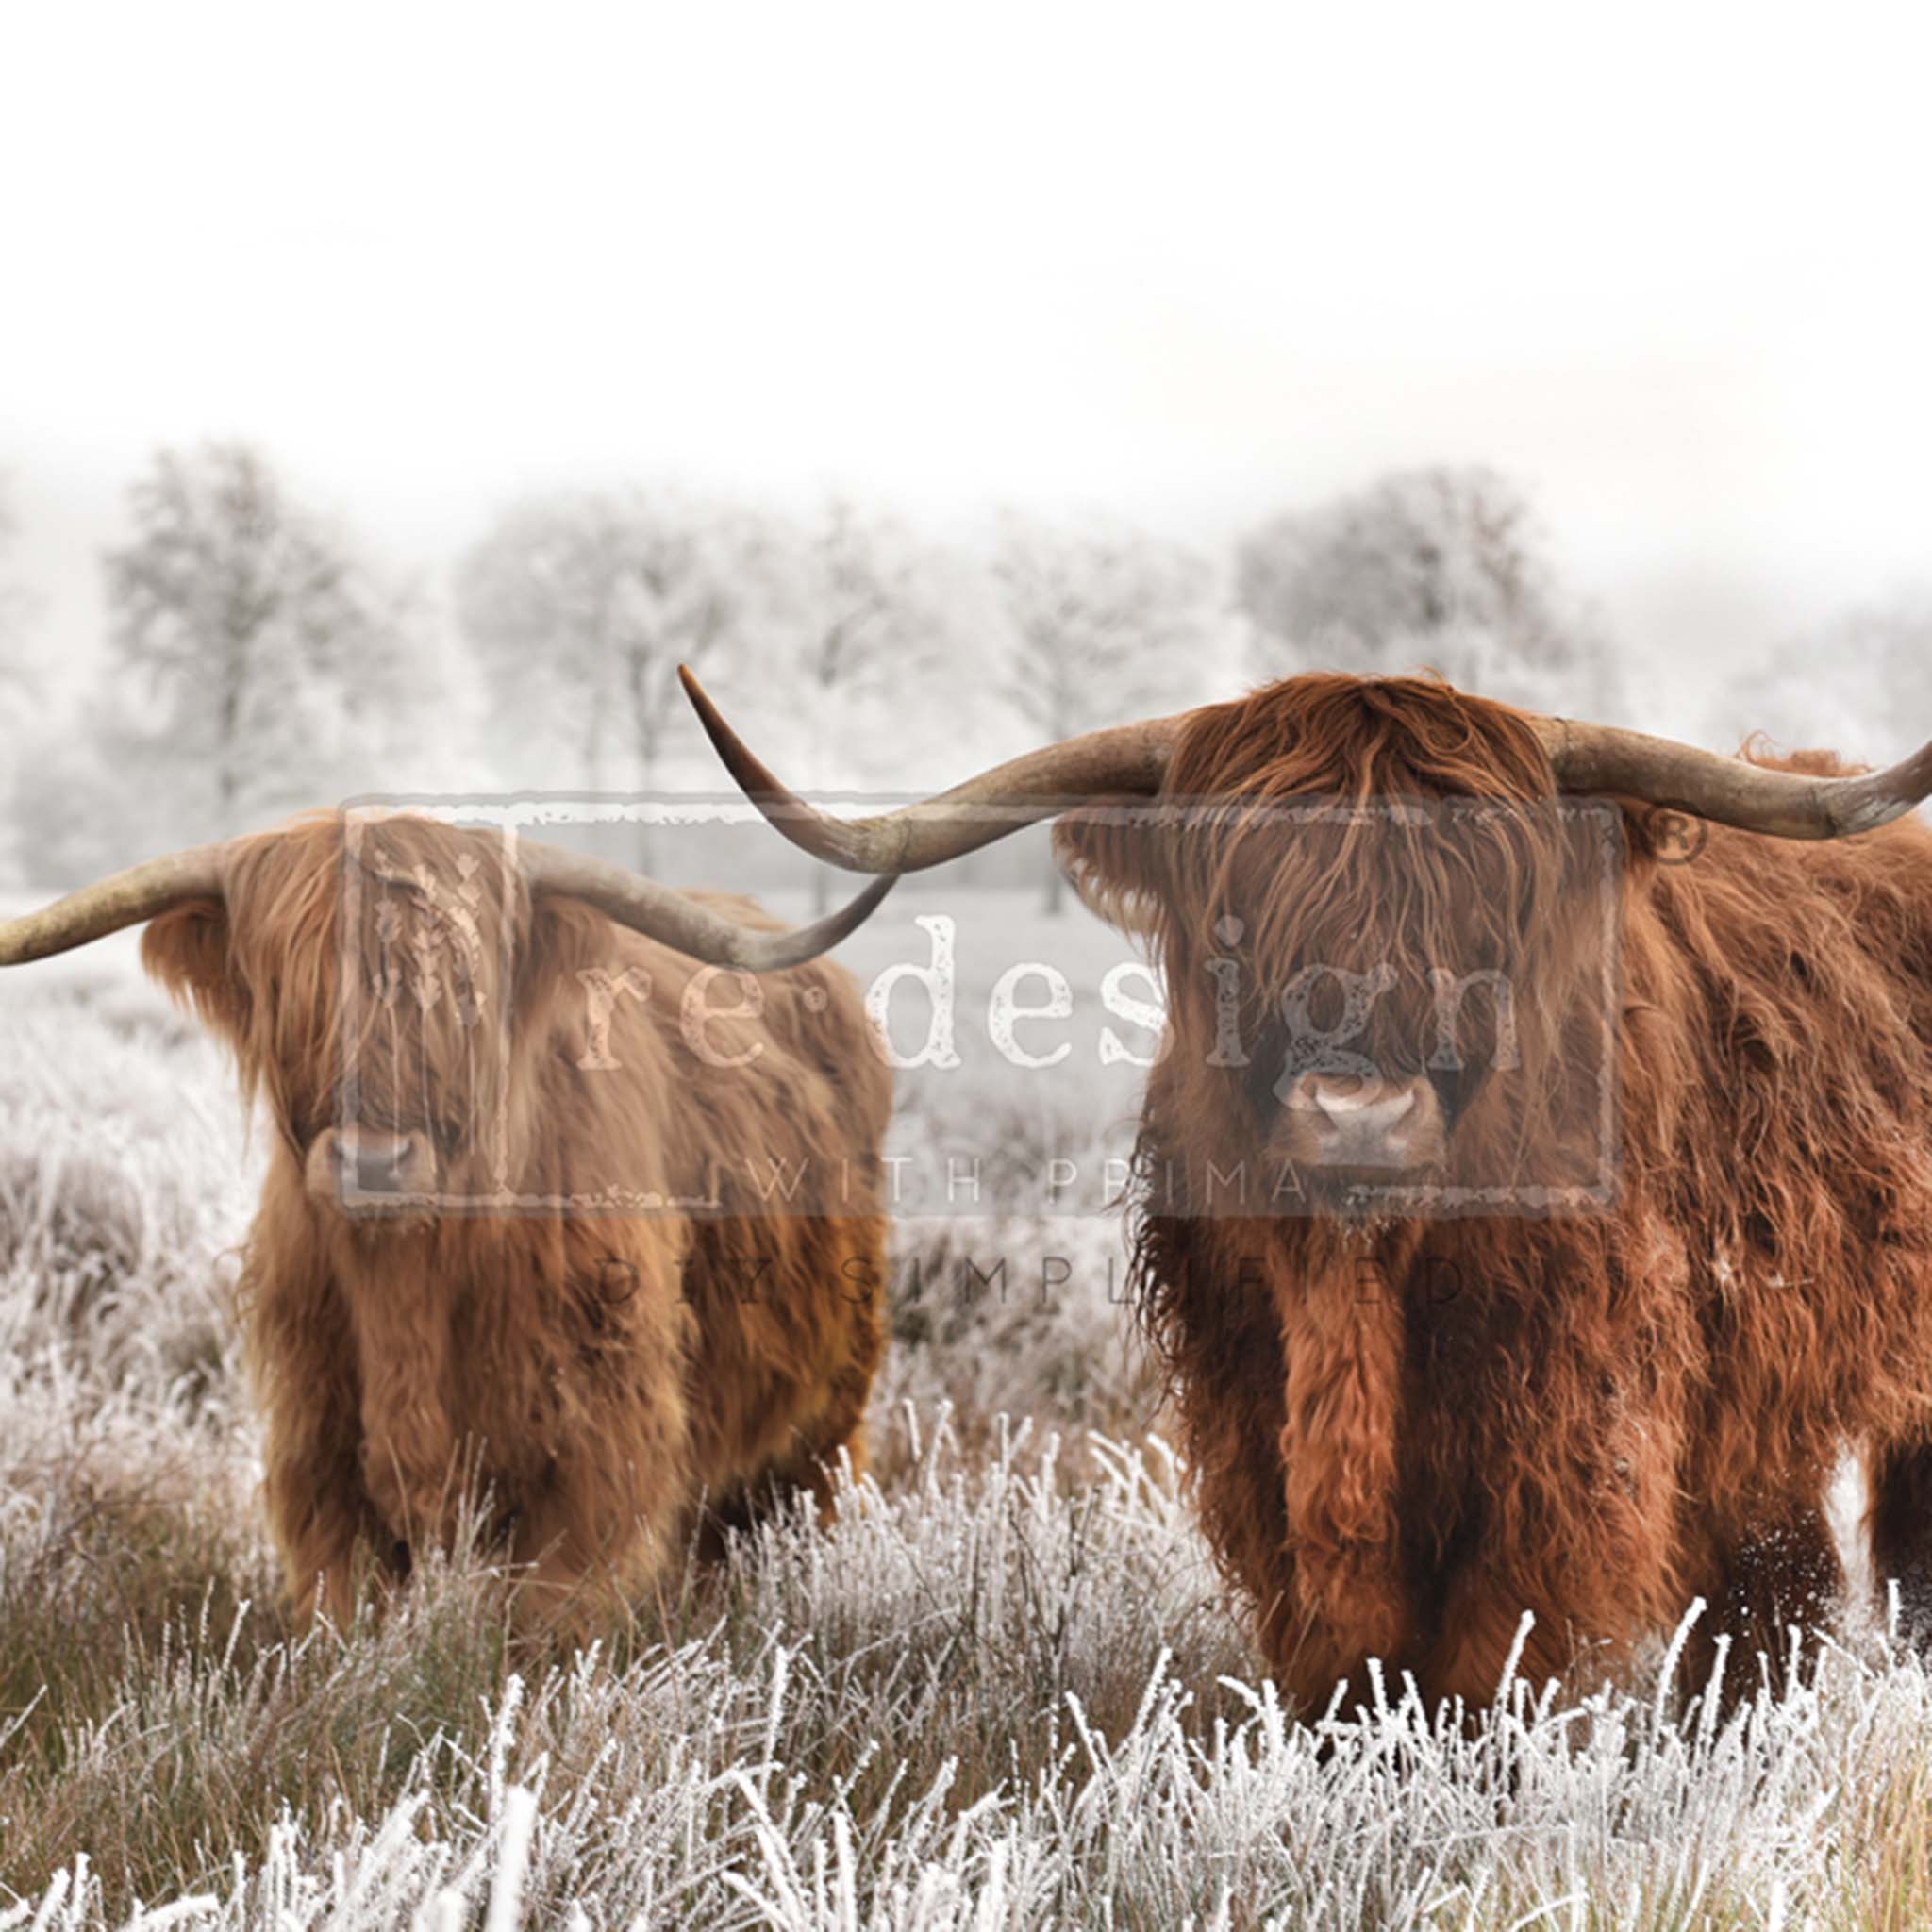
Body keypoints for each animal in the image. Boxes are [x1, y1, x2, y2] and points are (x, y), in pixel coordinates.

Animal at [0, 815, 889, 1630]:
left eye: (464, 998)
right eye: (292, 988)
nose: (373, 1162)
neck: (410, 1280)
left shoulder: (597, 1440)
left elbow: (551, 1614)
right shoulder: (319, 1436)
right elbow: (343, 1603)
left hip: (829, 1401)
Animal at [691, 660, 1932, 1707]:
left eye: (1486, 906)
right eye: (1235, 911)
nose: (1358, 1117)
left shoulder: (1564, 1428)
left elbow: (1493, 1649)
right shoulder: (1252, 1414)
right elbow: (1341, 1655)